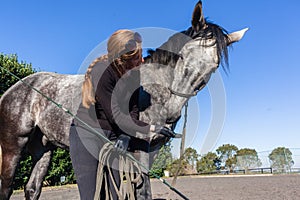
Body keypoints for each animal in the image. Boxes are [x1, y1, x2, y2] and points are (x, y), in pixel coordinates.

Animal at [0, 1, 247, 198]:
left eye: (214, 65)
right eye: (183, 55)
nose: (173, 112)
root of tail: (13, 89)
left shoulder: (151, 150)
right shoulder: (138, 148)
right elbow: (142, 190)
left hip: (43, 149)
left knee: (32, 189)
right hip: (13, 145)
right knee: (6, 187)